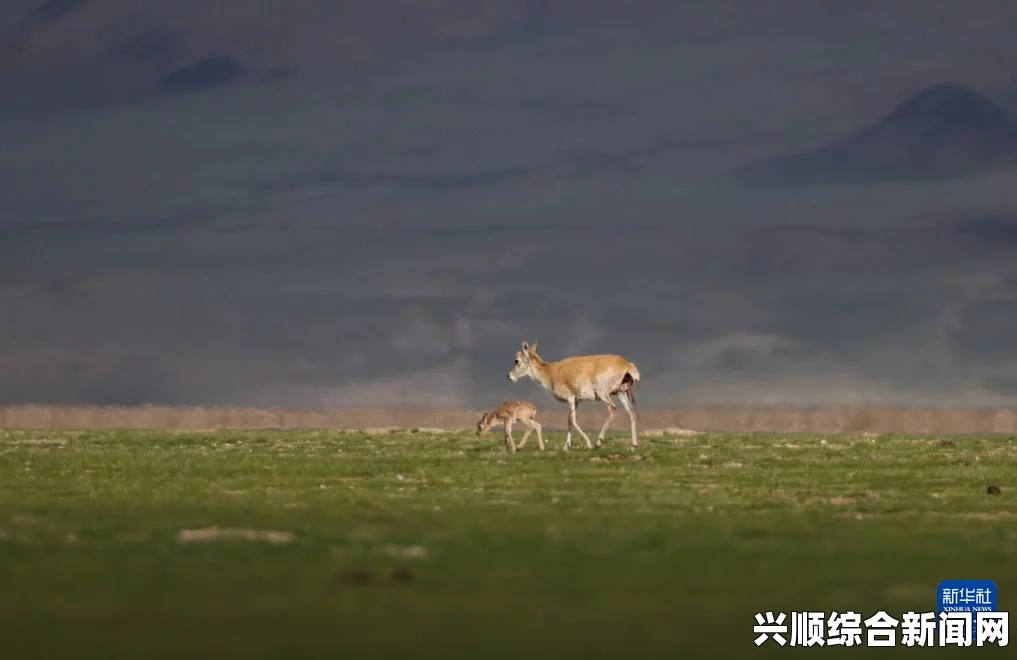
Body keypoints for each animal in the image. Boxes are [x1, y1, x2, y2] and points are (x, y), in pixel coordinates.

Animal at [504, 339, 638, 453]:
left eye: (516, 360)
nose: (509, 376)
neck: (552, 372)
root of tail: (626, 364)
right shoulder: (576, 401)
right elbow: (569, 421)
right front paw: (566, 447)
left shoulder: (570, 399)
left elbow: (572, 420)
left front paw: (588, 443)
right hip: (621, 393)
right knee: (631, 412)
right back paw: (633, 445)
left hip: (604, 394)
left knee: (613, 410)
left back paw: (598, 442)